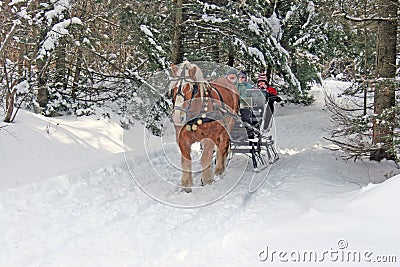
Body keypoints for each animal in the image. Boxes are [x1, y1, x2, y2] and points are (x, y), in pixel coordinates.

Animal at [168, 61, 239, 193]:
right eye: (173, 88)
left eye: (191, 88)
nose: (177, 117)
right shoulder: (182, 139)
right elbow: (186, 161)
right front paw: (186, 186)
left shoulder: (209, 137)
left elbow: (205, 158)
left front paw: (207, 181)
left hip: (228, 126)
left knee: (222, 148)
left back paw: (219, 171)